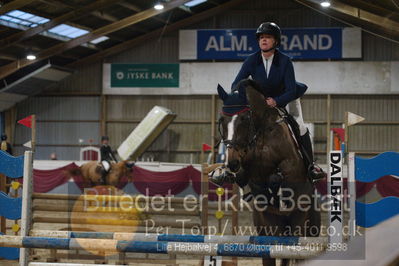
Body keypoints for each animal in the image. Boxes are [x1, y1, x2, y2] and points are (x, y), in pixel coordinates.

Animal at [217, 79, 320, 266]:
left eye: (244, 118)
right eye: (222, 120)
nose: (232, 162)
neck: (261, 130)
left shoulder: (292, 166)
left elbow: (278, 175)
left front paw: (278, 194)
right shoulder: (250, 170)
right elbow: (247, 177)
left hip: (303, 223)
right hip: (268, 228)